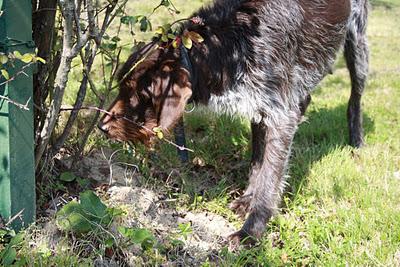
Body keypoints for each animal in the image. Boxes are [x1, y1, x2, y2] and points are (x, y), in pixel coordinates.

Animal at [99, 0, 368, 247]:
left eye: (134, 91)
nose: (101, 127)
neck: (232, 45)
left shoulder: (280, 115)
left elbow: (269, 178)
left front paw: (251, 231)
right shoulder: (260, 109)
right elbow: (257, 162)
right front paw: (247, 199)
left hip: (358, 46)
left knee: (355, 99)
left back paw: (357, 143)